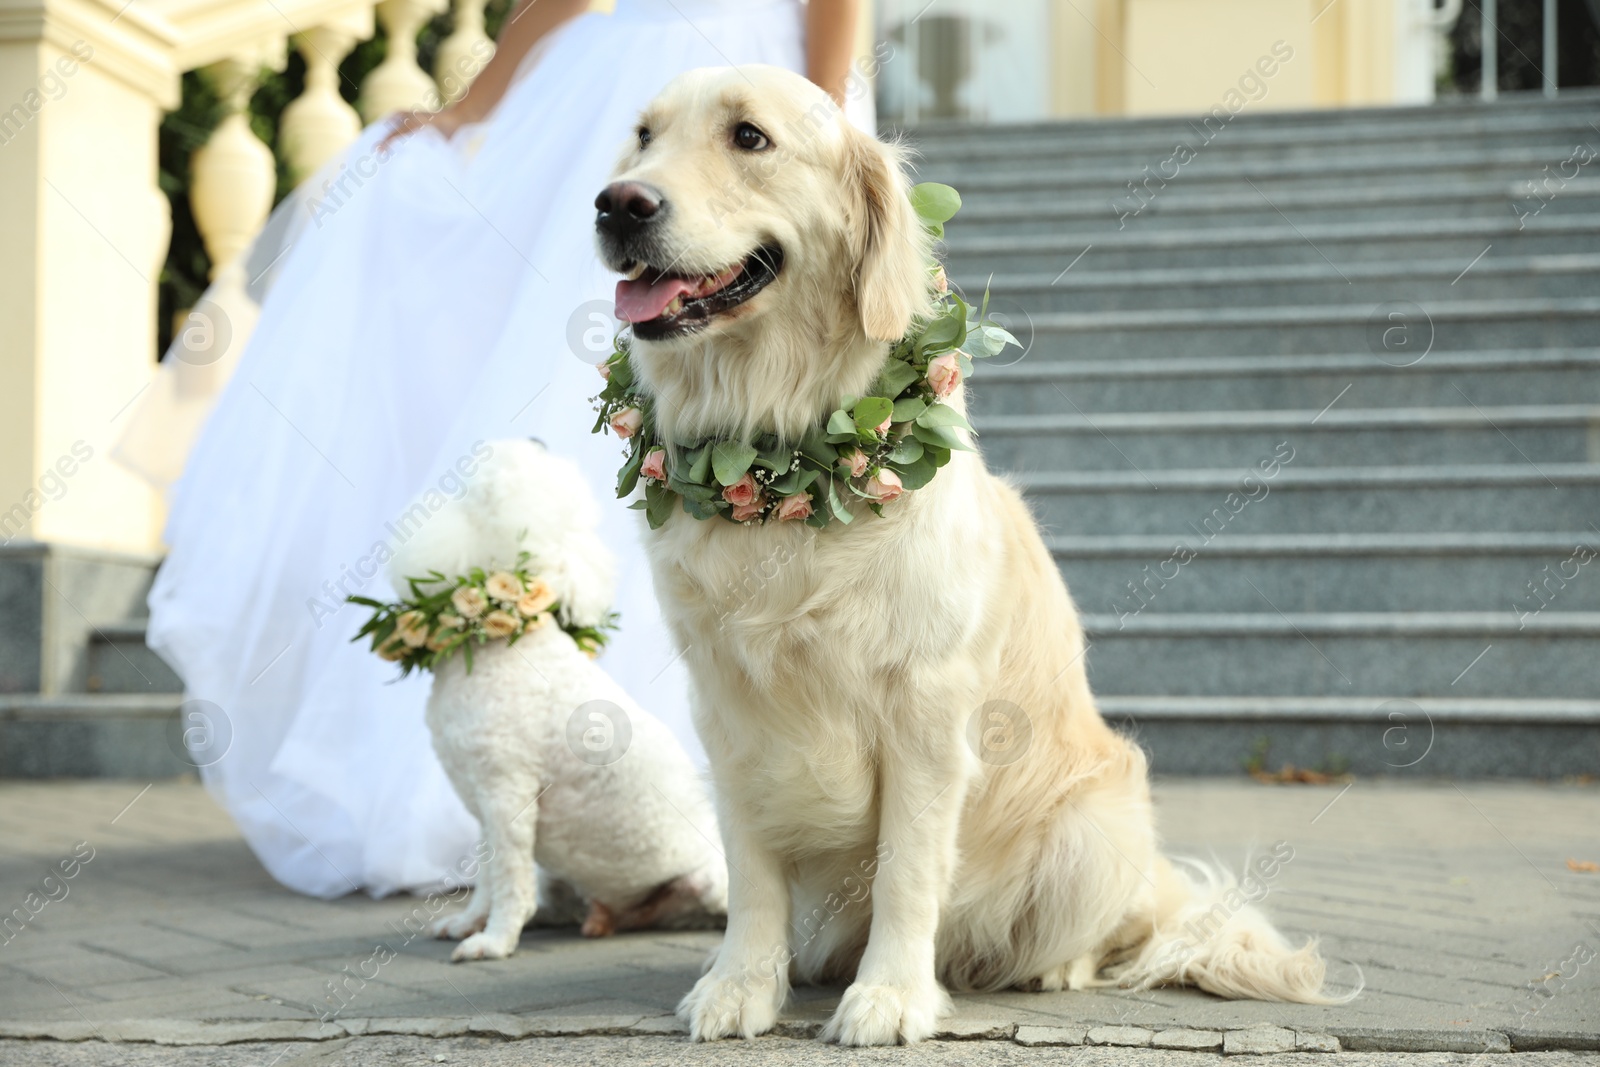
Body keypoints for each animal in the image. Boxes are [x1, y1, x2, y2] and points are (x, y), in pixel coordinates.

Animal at [390, 435, 729, 959]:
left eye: (476, 493)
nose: (537, 438)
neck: (505, 641)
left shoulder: (507, 796)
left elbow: (509, 882)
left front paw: (493, 942)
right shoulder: (483, 805)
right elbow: (487, 880)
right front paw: (470, 924)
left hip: (709, 883)